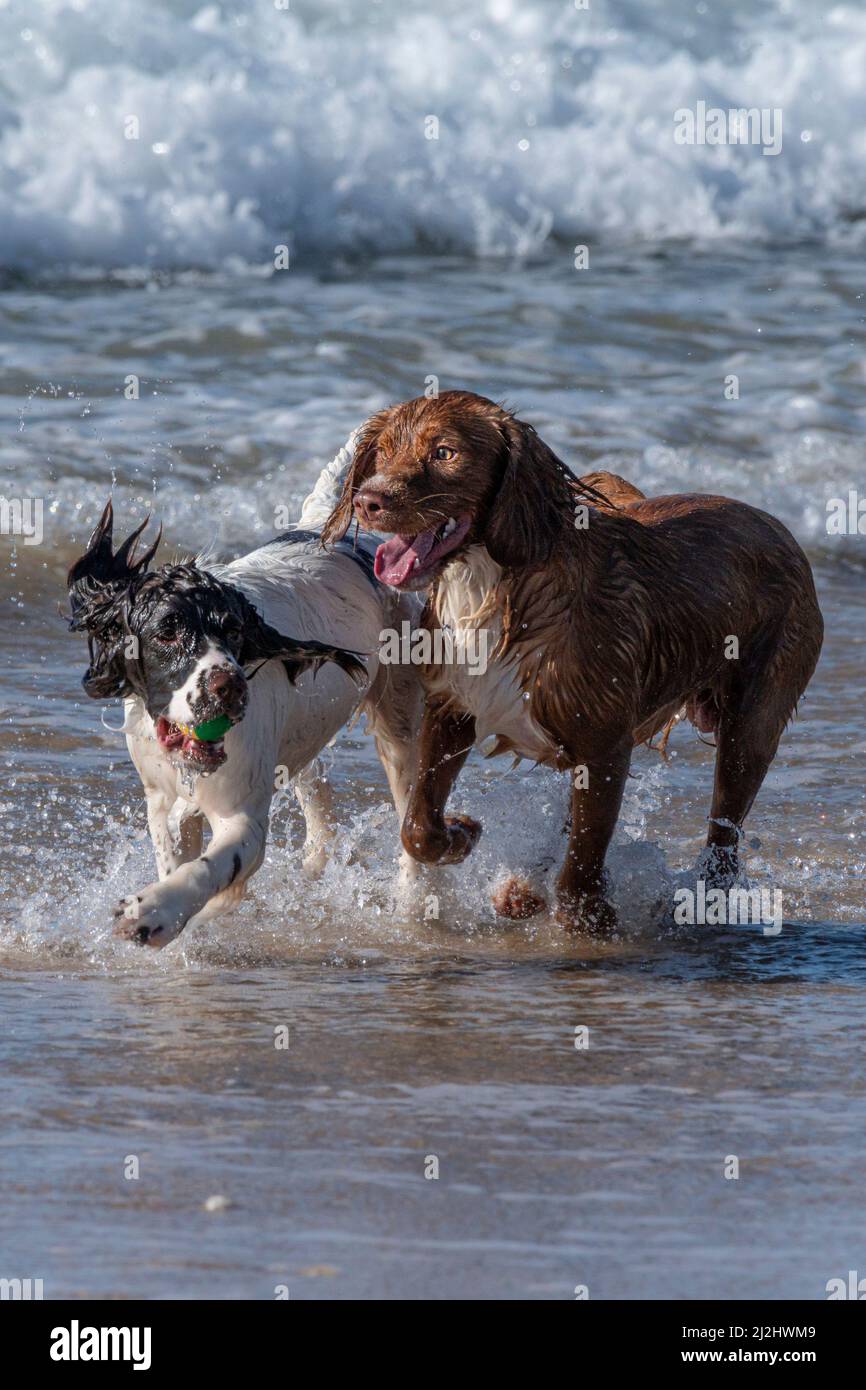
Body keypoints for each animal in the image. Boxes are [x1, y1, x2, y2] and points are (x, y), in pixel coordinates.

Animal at [68, 439, 422, 950]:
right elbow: (175, 850)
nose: (229, 685)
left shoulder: (243, 816)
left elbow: (207, 870)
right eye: (167, 631)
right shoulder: (160, 799)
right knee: (316, 787)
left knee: (411, 815)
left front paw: (153, 911)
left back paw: (414, 901)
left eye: (234, 629)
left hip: (400, 723)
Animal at [322, 391, 822, 934]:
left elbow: (584, 858)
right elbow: (417, 826)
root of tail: (776, 524)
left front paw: (587, 917)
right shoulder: (452, 709)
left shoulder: (605, 743)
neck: (495, 587)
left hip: (753, 720)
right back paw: (524, 886)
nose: (369, 500)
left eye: (444, 453)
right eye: (384, 451)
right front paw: (462, 833)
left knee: (724, 833)